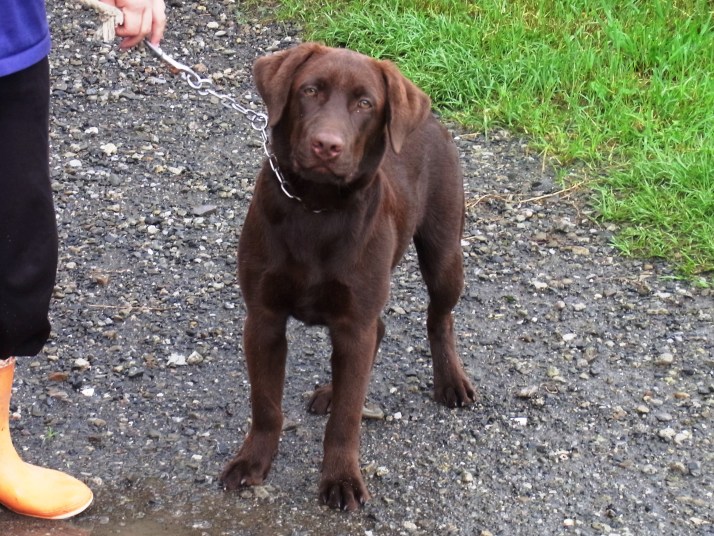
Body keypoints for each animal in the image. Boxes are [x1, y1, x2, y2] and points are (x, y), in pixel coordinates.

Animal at [220, 42, 476, 511]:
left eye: (365, 104)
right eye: (309, 90)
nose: (326, 145)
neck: (317, 207)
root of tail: (431, 118)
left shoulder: (353, 322)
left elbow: (346, 418)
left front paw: (340, 478)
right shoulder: (263, 318)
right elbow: (265, 404)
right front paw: (253, 461)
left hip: (444, 253)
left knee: (439, 318)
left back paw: (451, 380)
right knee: (381, 329)